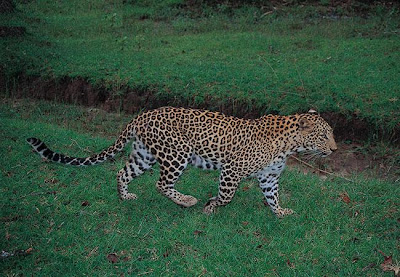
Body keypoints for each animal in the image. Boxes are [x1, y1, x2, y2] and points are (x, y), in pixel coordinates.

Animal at [26, 106, 336, 217]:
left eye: (331, 134)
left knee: (121, 172)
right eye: (323, 136)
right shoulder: (232, 170)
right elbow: (226, 197)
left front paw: (281, 213)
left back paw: (125, 197)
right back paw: (186, 201)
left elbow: (272, 197)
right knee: (162, 184)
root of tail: (141, 115)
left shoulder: (269, 177)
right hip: (177, 154)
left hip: (144, 155)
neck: (289, 146)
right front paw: (210, 207)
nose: (334, 150)